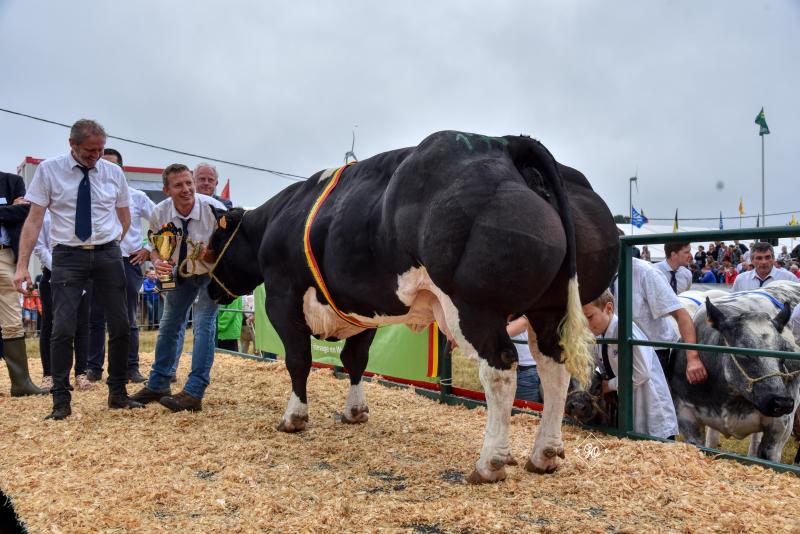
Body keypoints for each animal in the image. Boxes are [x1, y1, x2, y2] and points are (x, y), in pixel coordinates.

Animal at [203, 131, 616, 486]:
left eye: (214, 241)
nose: (207, 287)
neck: (278, 220)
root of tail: (504, 143)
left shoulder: (282, 299)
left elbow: (298, 361)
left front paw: (294, 417)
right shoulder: (363, 308)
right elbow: (356, 360)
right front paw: (355, 411)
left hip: (473, 305)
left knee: (500, 370)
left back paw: (491, 462)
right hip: (549, 309)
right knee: (553, 369)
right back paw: (543, 454)